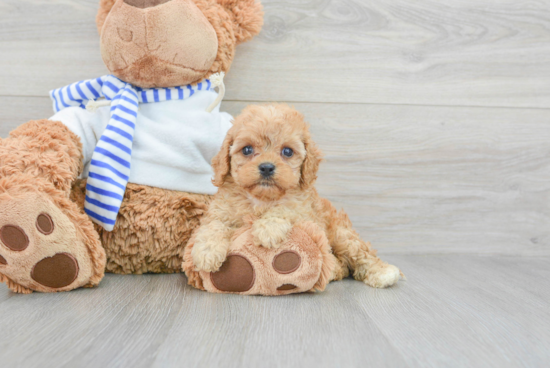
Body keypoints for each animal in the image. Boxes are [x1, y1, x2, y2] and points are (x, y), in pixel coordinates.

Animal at [192, 103, 404, 288]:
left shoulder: (303, 210)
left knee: (361, 253)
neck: (261, 198)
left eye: (287, 151)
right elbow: (213, 225)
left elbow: (284, 209)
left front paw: (268, 229)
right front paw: (206, 252)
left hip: (341, 235)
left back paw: (383, 272)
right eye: (247, 150)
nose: (267, 167)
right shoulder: (220, 211)